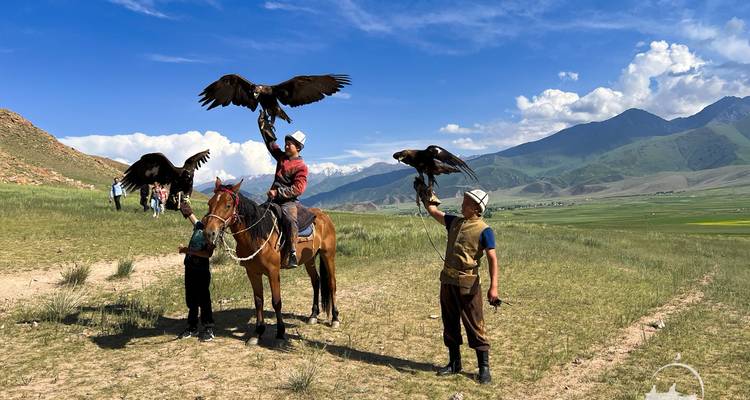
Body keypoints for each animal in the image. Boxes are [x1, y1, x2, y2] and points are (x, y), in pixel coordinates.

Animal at [202, 178, 339, 344]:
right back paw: (313, 315)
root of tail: (325, 216)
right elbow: (258, 300)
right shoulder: (252, 272)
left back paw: (335, 319)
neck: (257, 235)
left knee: (331, 283)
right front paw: (257, 332)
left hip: (328, 255)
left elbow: (276, 301)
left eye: (227, 205)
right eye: (209, 203)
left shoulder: (273, 272)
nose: (209, 233)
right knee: (316, 281)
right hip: (310, 259)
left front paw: (280, 333)